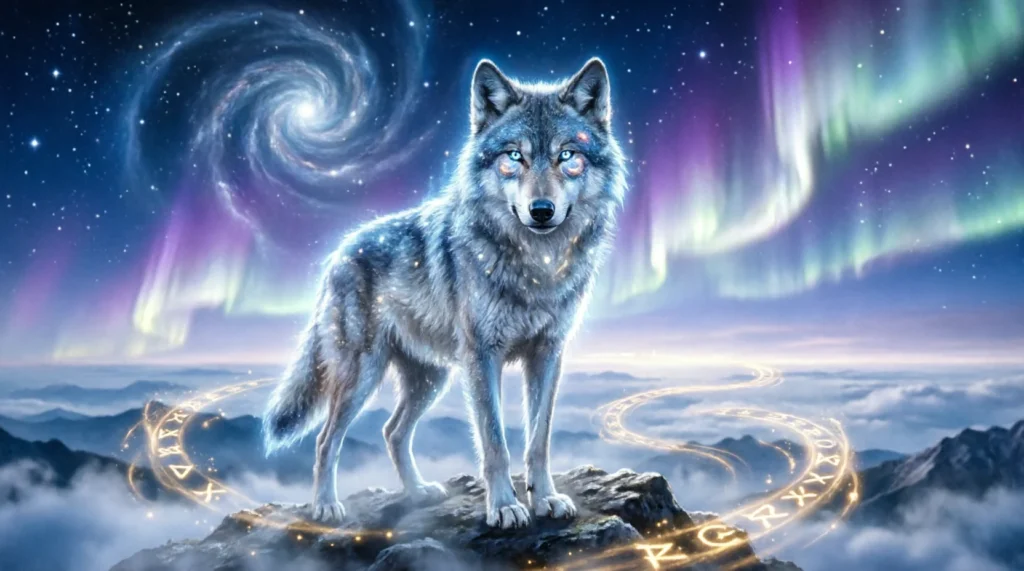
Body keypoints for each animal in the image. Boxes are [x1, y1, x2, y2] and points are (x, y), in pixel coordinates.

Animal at [263, 58, 627, 529]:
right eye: (515, 156)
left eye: (567, 155)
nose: (542, 210)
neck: (536, 267)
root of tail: (339, 253)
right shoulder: (482, 357)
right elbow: (494, 441)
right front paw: (504, 506)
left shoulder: (548, 354)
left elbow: (538, 440)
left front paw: (545, 499)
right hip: (363, 375)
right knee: (326, 439)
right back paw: (326, 507)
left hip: (431, 378)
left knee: (392, 431)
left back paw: (418, 492)